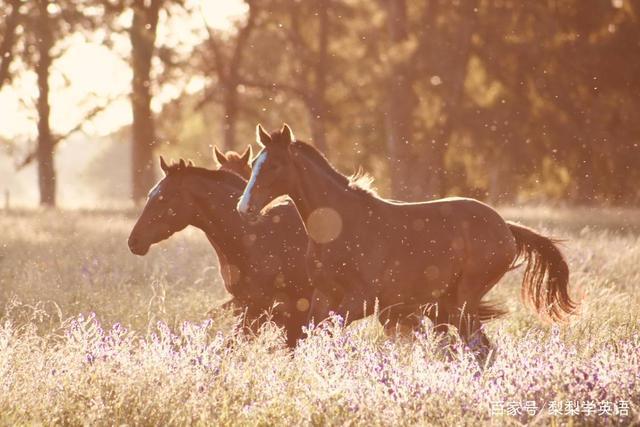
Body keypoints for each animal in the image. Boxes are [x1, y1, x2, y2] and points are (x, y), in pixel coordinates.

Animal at [238, 124, 576, 354]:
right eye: (254, 163)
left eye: (275, 165)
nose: (244, 208)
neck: (339, 227)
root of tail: (505, 226)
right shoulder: (324, 295)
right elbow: (309, 334)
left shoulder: (362, 300)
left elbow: (325, 332)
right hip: (447, 304)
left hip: (464, 300)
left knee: (479, 347)